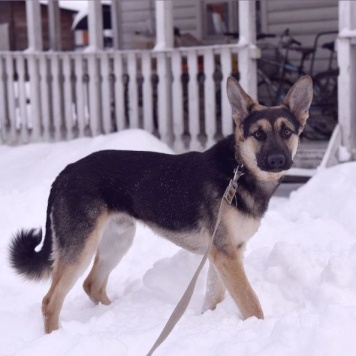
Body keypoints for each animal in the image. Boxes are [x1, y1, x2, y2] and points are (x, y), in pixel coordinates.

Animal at [9, 74, 312, 334]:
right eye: (258, 135)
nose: (277, 161)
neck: (238, 171)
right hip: (81, 247)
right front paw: (259, 328)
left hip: (118, 239)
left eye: (287, 132)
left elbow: (214, 296)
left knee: (92, 284)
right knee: (51, 301)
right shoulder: (227, 254)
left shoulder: (222, 254)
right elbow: (251, 302)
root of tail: (65, 172)